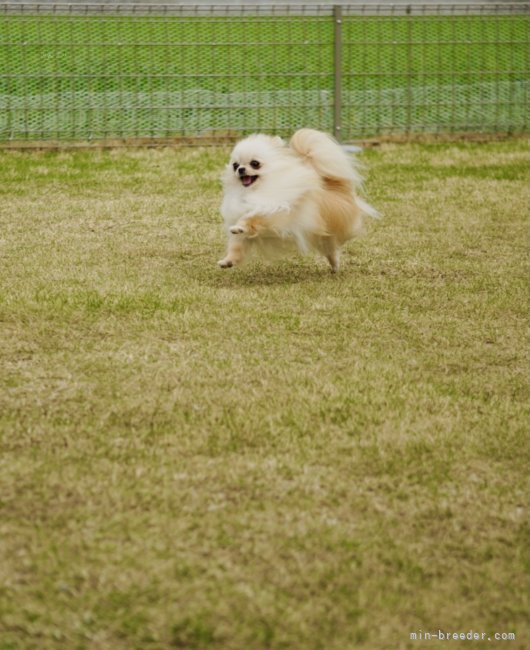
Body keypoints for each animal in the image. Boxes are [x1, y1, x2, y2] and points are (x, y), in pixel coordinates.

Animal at [217, 128, 378, 272]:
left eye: (255, 163)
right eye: (235, 165)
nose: (241, 169)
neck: (255, 190)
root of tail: (337, 189)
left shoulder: (276, 212)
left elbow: (252, 218)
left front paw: (240, 227)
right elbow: (237, 246)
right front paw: (228, 261)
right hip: (323, 235)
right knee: (331, 249)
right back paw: (334, 266)